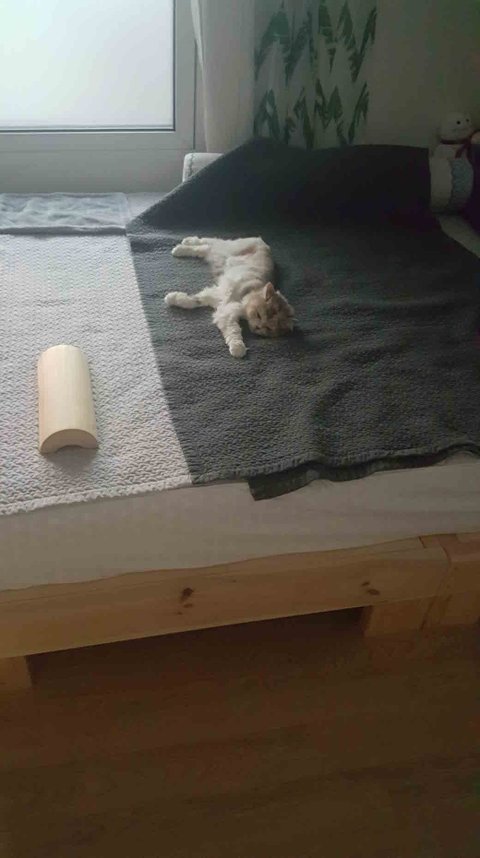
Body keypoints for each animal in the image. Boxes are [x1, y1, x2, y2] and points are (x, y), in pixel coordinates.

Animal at [164, 236, 294, 358]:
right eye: (258, 315)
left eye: (268, 328)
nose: (258, 326)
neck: (247, 295)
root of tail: (263, 242)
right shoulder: (222, 299)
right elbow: (234, 331)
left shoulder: (224, 310)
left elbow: (193, 301)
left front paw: (172, 298)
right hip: (229, 248)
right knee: (207, 241)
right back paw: (183, 245)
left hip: (218, 254)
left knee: (204, 248)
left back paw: (181, 247)